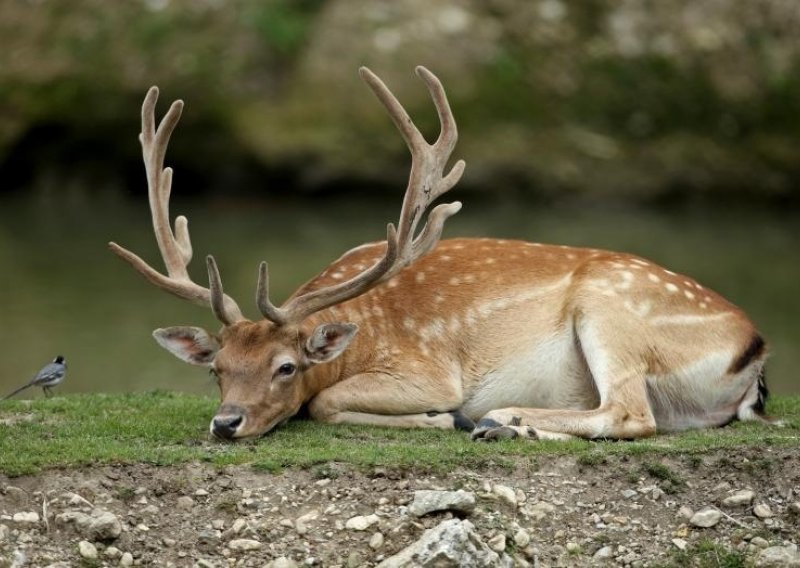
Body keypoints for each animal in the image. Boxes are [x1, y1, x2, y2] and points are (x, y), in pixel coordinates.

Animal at [109, 65, 772, 440]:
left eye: (286, 366)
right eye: (216, 369)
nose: (226, 423)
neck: (359, 332)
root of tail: (756, 351)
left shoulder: (426, 370)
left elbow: (325, 402)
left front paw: (447, 418)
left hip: (612, 311)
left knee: (631, 412)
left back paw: (502, 420)